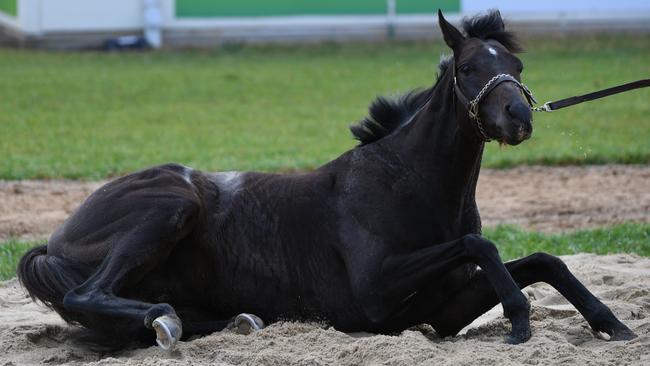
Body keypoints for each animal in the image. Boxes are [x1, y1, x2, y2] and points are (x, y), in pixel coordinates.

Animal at [19, 10, 632, 350]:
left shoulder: (441, 308)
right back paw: (165, 321)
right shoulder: (376, 292)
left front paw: (610, 325)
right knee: (88, 294)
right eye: (467, 68)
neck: (409, 182)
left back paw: (240, 321)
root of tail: (55, 240)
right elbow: (482, 244)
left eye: (517, 67)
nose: (519, 118)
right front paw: (519, 322)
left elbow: (540, 261)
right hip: (169, 206)